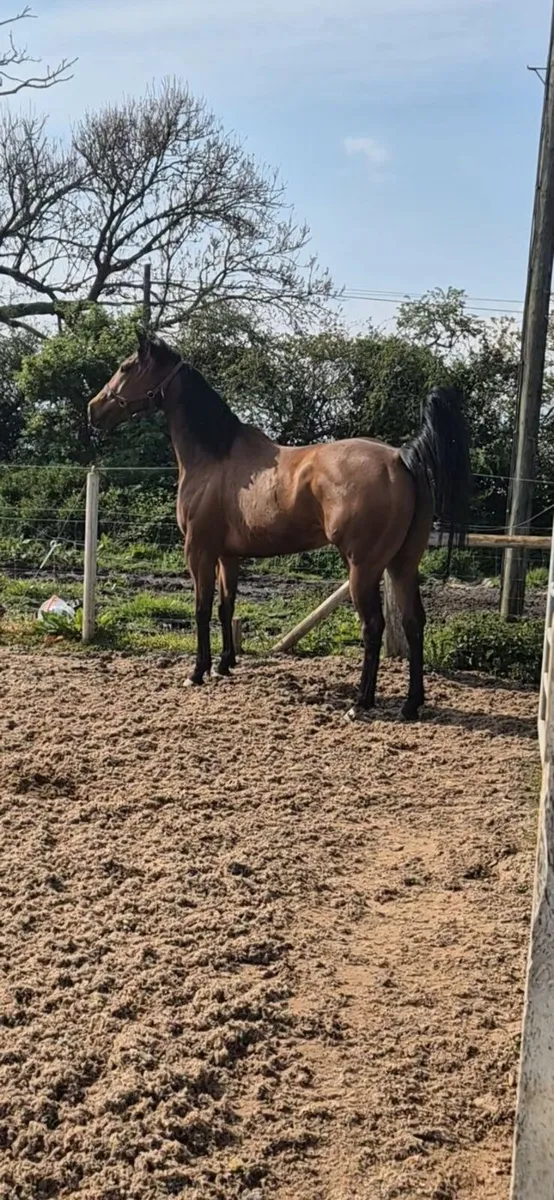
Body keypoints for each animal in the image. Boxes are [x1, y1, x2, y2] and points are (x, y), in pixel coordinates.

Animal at [88, 331, 471, 719]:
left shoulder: (199, 551)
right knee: (413, 623)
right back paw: (410, 704)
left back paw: (360, 703)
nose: (94, 409)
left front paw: (198, 671)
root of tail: (398, 458)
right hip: (403, 564)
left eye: (126, 367)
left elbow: (201, 608)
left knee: (373, 626)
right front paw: (225, 664)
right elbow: (226, 607)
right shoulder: (229, 556)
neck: (215, 457)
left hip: (364, 568)